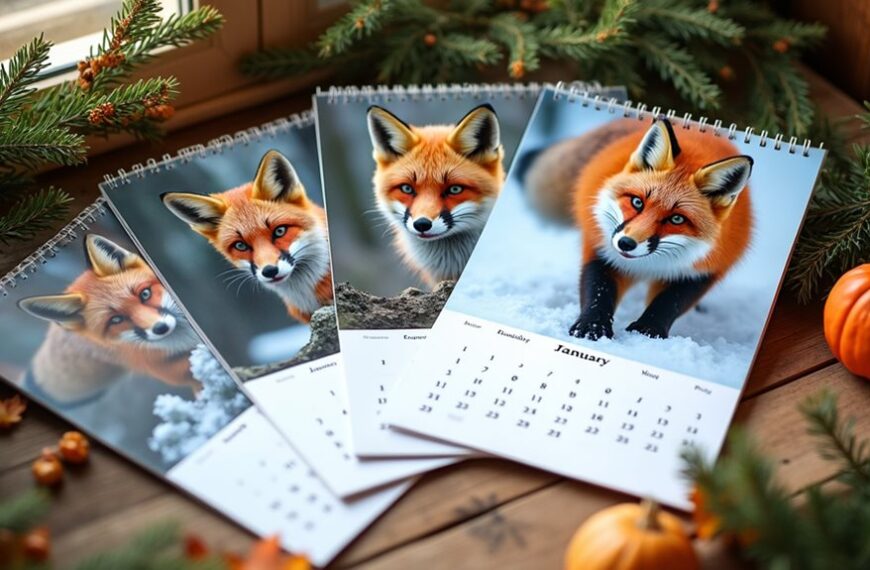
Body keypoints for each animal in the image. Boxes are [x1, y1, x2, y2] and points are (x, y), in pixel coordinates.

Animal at [525, 117, 754, 340]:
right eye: (637, 202)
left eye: (676, 219)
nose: (626, 244)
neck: (647, 265)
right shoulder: (601, 250)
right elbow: (598, 291)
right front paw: (592, 326)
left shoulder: (701, 271)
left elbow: (668, 303)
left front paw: (648, 330)